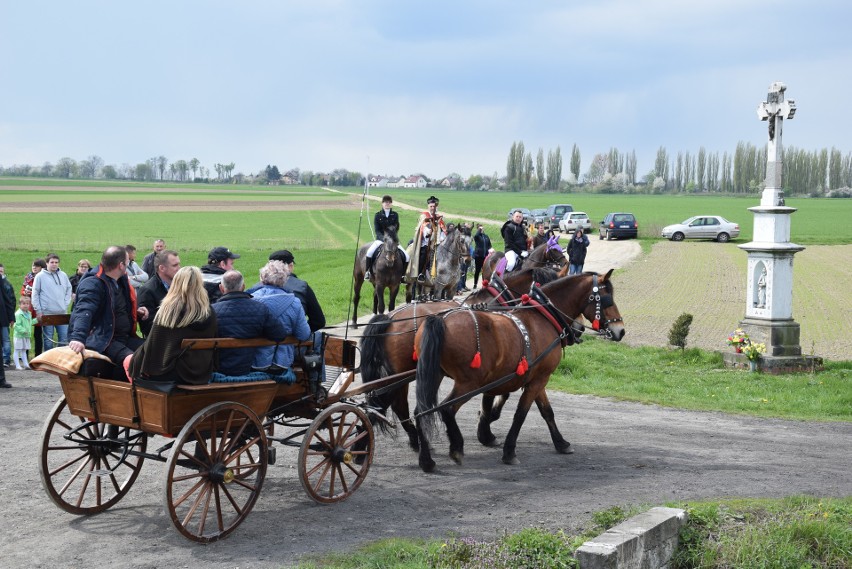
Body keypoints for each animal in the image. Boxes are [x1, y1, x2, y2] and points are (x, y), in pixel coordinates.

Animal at [414, 270, 624, 470]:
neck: (543, 316)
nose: (620, 330)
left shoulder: (537, 378)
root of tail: (441, 319)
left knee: (420, 411)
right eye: (608, 299)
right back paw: (456, 447)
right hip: (469, 383)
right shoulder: (538, 379)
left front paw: (561, 443)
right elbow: (520, 414)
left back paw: (426, 459)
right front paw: (508, 451)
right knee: (447, 409)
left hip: (435, 374)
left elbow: (547, 411)